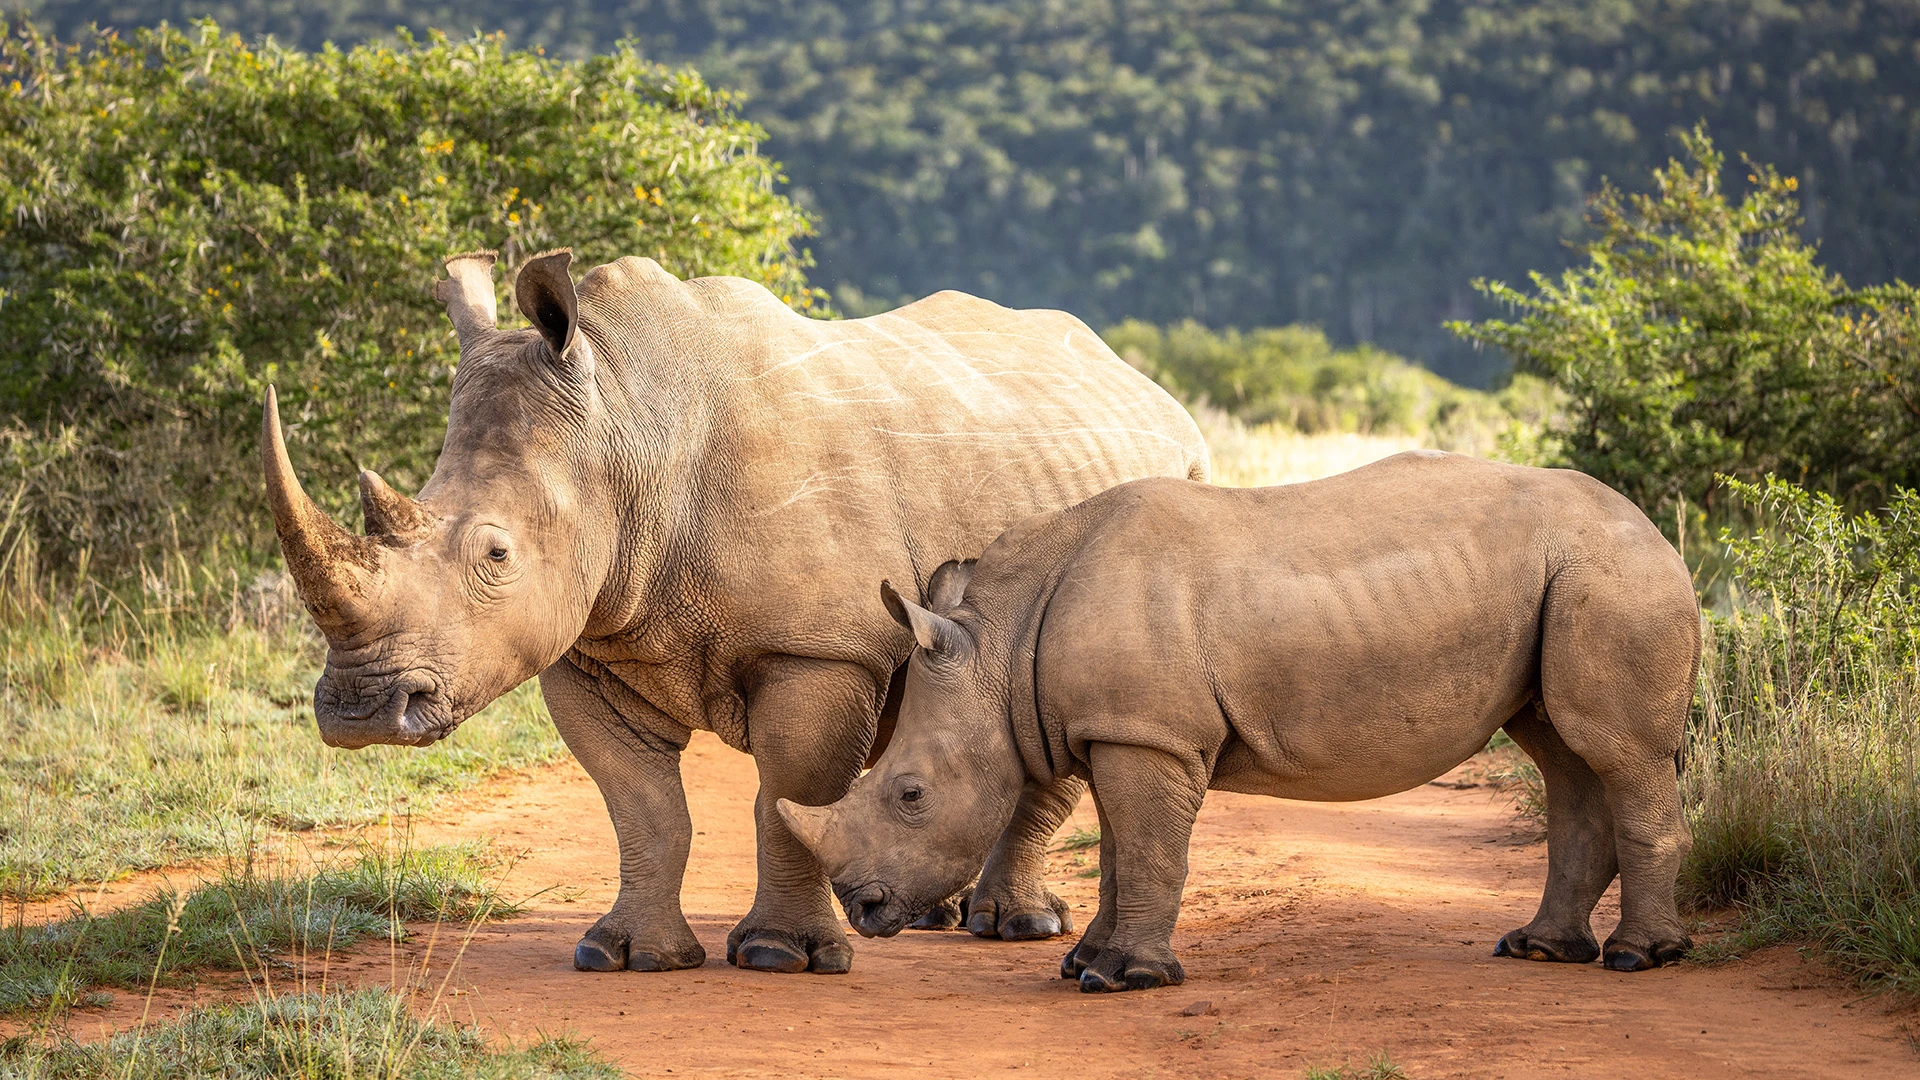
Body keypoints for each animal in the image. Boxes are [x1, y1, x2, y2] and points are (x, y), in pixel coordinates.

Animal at [261, 249, 1208, 975]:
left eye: (496, 556)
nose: (360, 713)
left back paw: (1015, 929)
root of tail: (1149, 388)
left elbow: (787, 792)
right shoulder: (588, 644)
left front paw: (782, 956)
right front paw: (627, 956)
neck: (624, 429)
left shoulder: (819, 648)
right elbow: (644, 809)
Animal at [779, 453, 1700, 991]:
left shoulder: (1148, 735)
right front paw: (1084, 965)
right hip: (1571, 575)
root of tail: (1658, 530)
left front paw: (1125, 977)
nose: (864, 909)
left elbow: (1149, 850)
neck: (1000, 641)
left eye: (910, 794)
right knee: (1564, 752)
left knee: (1620, 755)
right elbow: (1121, 852)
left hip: (1613, 574)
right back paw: (1540, 950)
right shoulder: (1126, 727)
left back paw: (1640, 959)